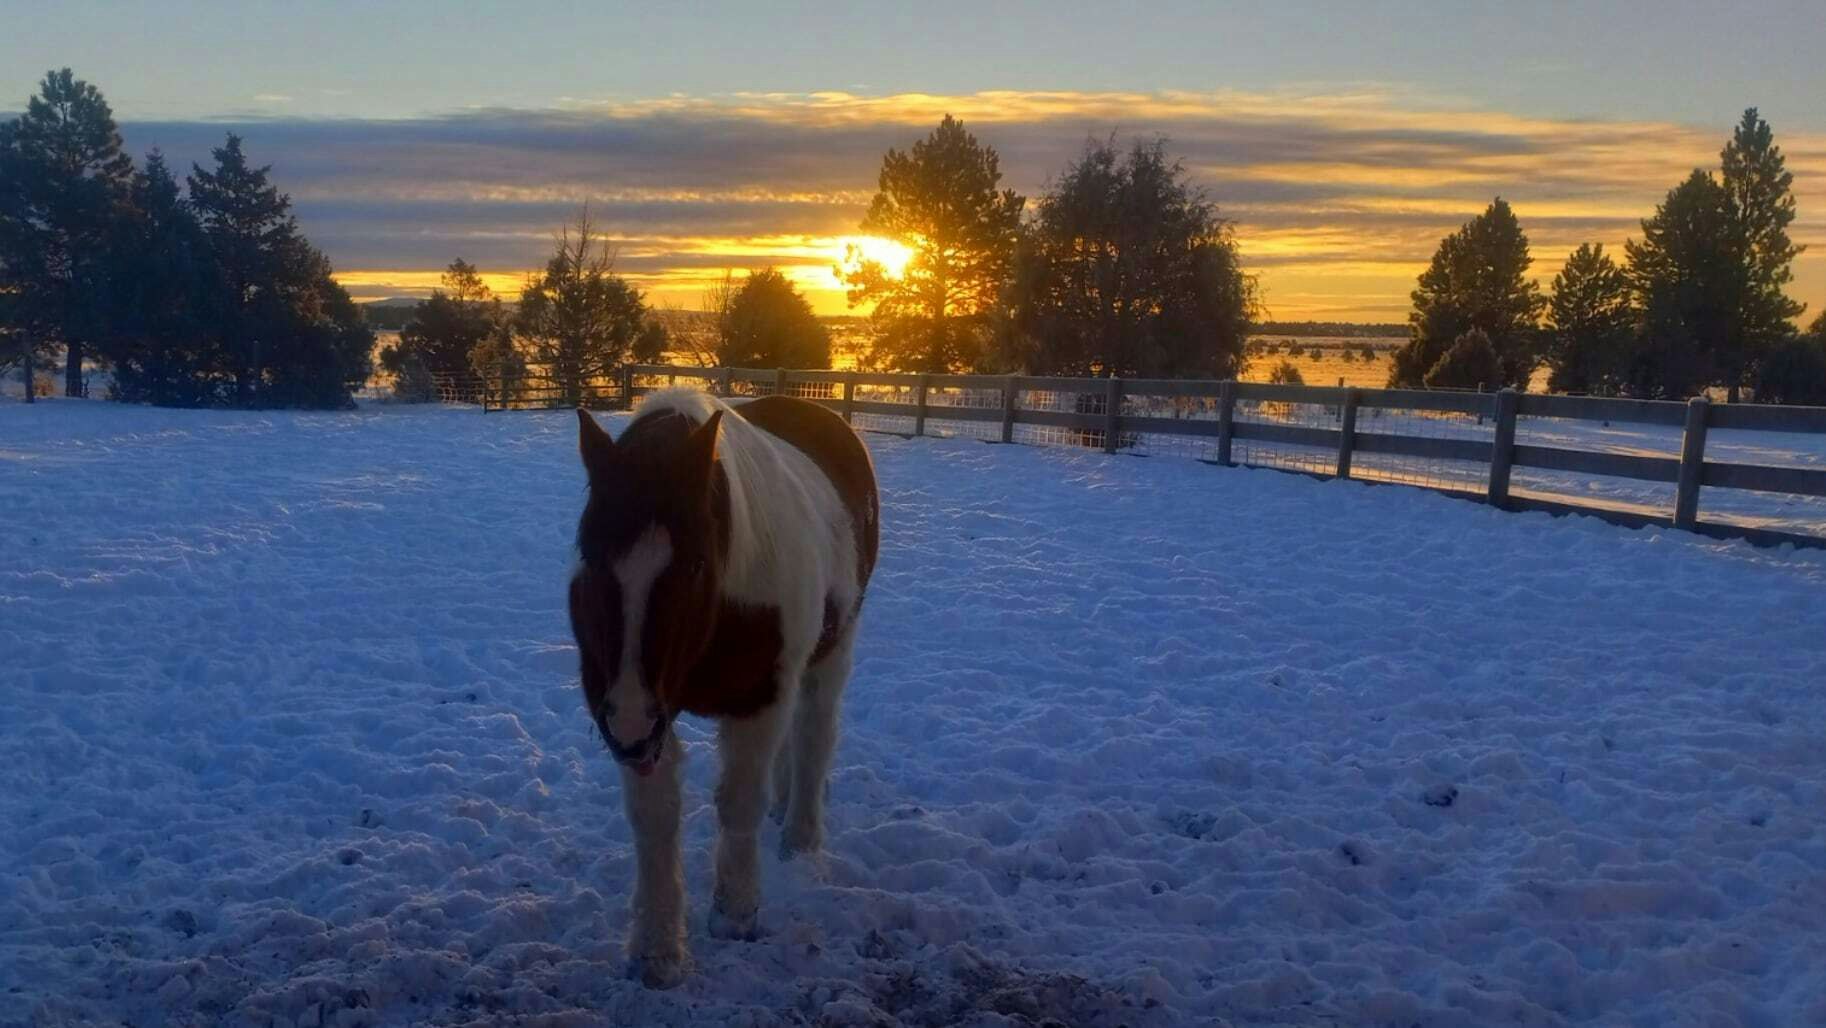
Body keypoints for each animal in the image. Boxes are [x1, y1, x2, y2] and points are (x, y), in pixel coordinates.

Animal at [569, 388, 883, 986]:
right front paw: (657, 951)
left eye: (696, 563)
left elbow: (737, 801)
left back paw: (800, 836)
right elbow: (655, 818)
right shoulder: (640, 714)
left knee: (814, 734)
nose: (628, 726)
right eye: (590, 556)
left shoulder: (755, 698)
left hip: (836, 645)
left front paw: (735, 915)